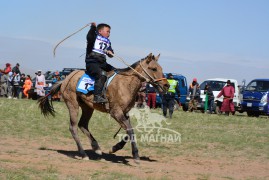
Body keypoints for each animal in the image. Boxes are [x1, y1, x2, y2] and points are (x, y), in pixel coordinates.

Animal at [38, 53, 168, 163]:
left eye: (161, 68)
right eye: (154, 68)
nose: (166, 85)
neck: (126, 84)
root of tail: (65, 78)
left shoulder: (125, 113)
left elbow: (129, 130)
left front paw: (115, 148)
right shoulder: (115, 112)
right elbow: (130, 130)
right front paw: (135, 156)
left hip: (87, 107)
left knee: (83, 125)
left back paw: (96, 148)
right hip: (73, 105)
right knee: (73, 127)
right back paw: (83, 154)